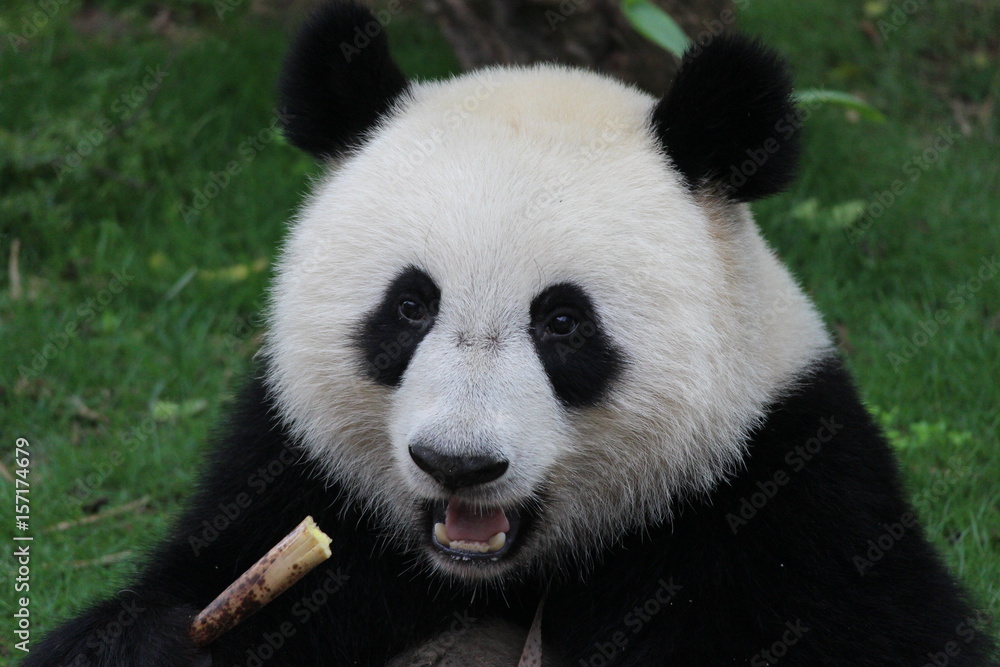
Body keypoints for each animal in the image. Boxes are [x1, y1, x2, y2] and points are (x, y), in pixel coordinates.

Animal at [27, 2, 996, 664]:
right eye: (410, 307)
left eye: (563, 322)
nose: (459, 464)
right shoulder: (293, 466)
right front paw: (147, 644)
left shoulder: (790, 488)